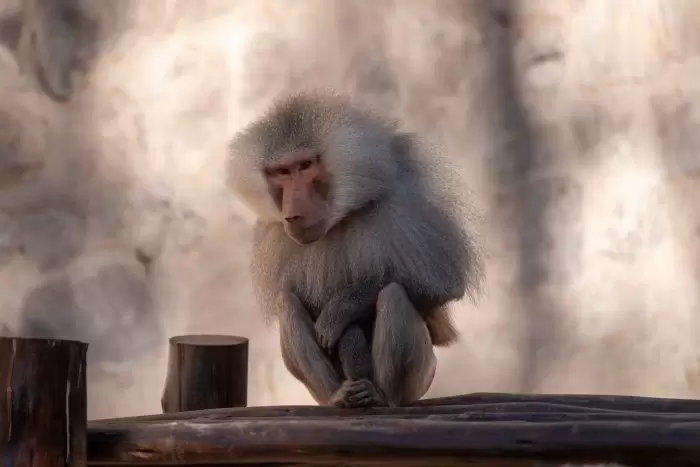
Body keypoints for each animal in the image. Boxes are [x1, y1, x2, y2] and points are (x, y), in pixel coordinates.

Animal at [228, 91, 482, 408]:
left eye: (305, 166)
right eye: (281, 172)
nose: (293, 214)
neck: (340, 216)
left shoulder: (403, 202)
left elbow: (443, 284)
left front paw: (340, 310)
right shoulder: (274, 234)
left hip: (420, 379)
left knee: (393, 294)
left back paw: (380, 396)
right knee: (288, 304)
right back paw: (339, 397)